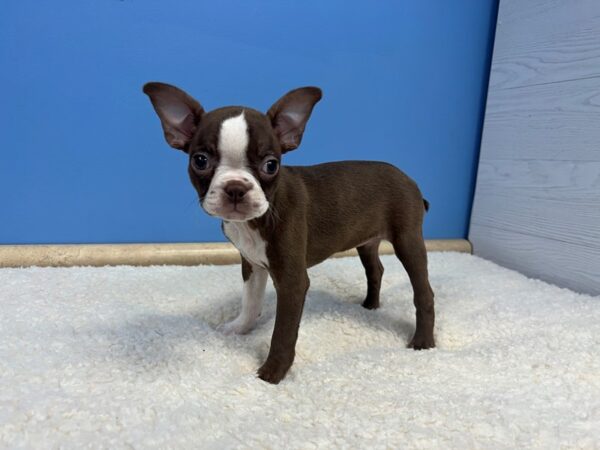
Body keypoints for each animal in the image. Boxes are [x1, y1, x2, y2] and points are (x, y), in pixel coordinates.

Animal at [145, 81, 436, 384]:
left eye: (271, 165)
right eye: (200, 161)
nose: (235, 187)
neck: (254, 222)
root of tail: (410, 180)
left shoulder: (292, 280)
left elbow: (283, 333)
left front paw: (272, 374)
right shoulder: (252, 264)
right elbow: (250, 302)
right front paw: (239, 328)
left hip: (407, 240)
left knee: (424, 292)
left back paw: (422, 342)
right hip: (366, 241)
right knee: (375, 269)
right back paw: (370, 306)